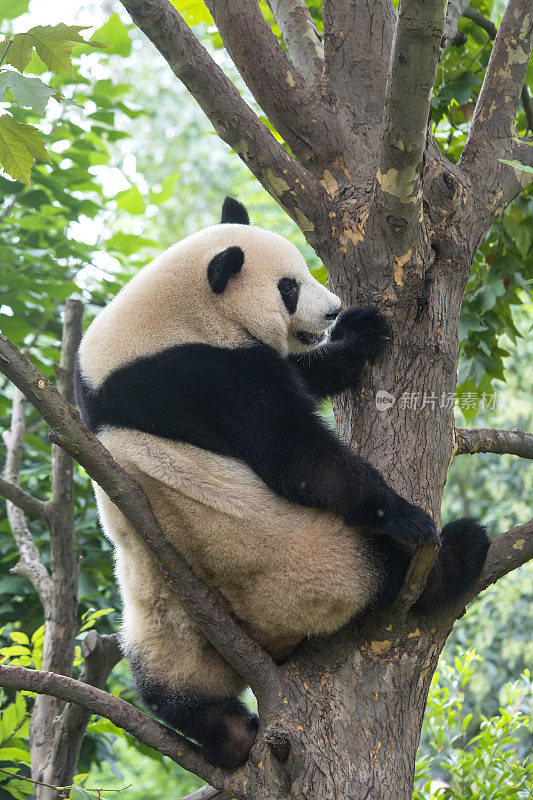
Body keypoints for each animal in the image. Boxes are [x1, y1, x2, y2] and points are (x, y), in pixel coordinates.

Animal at [74, 198, 486, 768]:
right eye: (288, 287)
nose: (332, 310)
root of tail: (267, 640)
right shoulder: (204, 374)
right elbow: (296, 455)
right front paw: (402, 512)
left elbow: (303, 379)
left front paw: (360, 334)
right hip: (310, 564)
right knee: (393, 568)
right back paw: (458, 553)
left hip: (160, 619)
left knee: (168, 688)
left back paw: (228, 734)